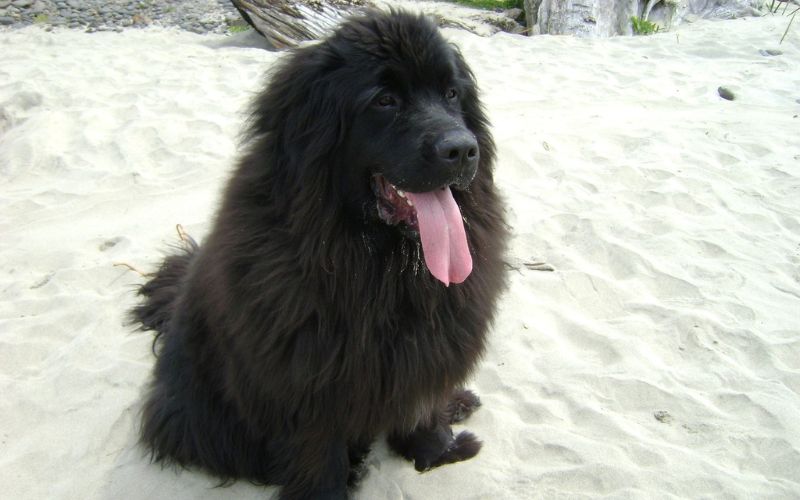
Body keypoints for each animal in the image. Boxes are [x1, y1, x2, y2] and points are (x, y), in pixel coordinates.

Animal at [131, 8, 506, 500]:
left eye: (451, 94)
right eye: (385, 100)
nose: (462, 149)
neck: (381, 266)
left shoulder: (428, 345)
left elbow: (421, 407)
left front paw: (438, 450)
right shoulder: (307, 386)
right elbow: (318, 455)